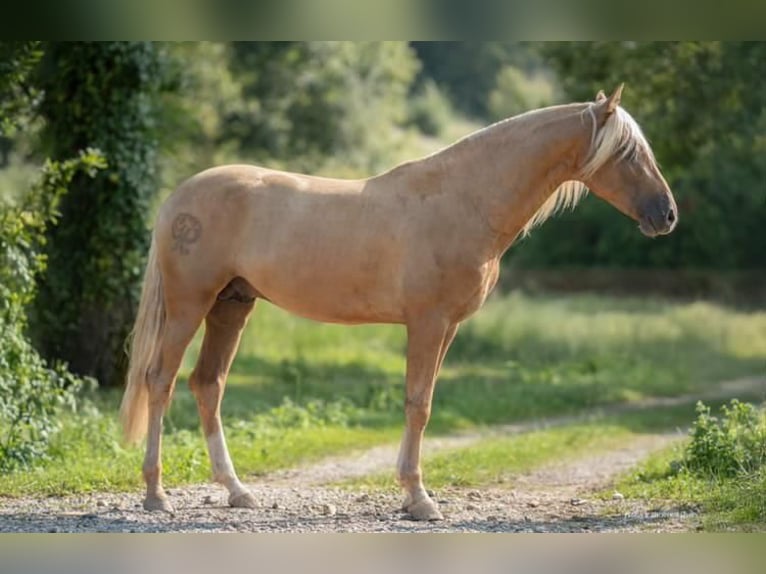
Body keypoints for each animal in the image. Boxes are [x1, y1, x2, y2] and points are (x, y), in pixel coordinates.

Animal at [118, 85, 680, 520]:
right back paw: (156, 494)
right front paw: (419, 499)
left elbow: (422, 402)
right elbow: (419, 404)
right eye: (628, 154)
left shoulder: (447, 327)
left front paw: (413, 497)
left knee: (207, 385)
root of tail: (178, 198)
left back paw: (237, 491)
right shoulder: (427, 323)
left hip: (231, 306)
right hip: (190, 305)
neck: (462, 199)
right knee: (160, 382)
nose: (667, 215)